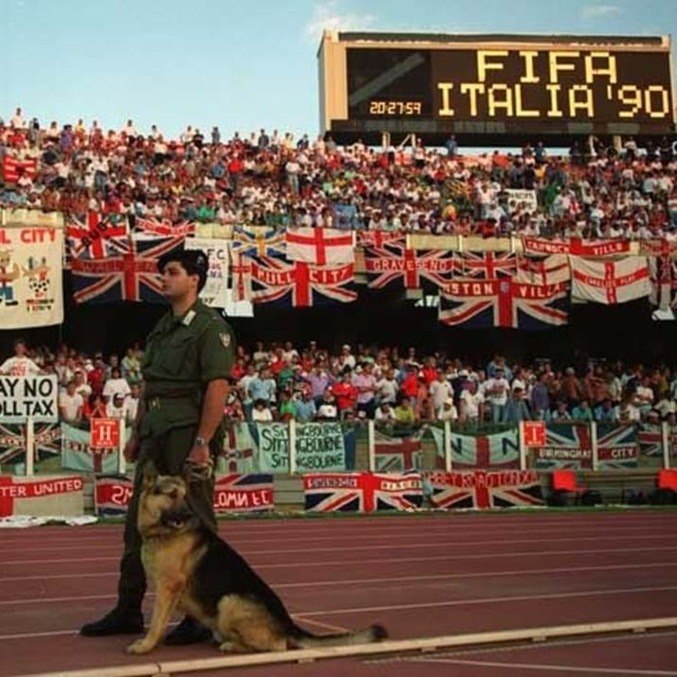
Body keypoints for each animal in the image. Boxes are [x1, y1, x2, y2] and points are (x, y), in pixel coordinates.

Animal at [127, 464, 388, 656]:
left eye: (185, 497)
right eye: (171, 495)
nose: (189, 514)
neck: (161, 532)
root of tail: (289, 625)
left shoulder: (168, 588)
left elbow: (157, 622)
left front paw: (146, 645)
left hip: (229, 601)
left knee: (275, 646)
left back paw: (231, 645)